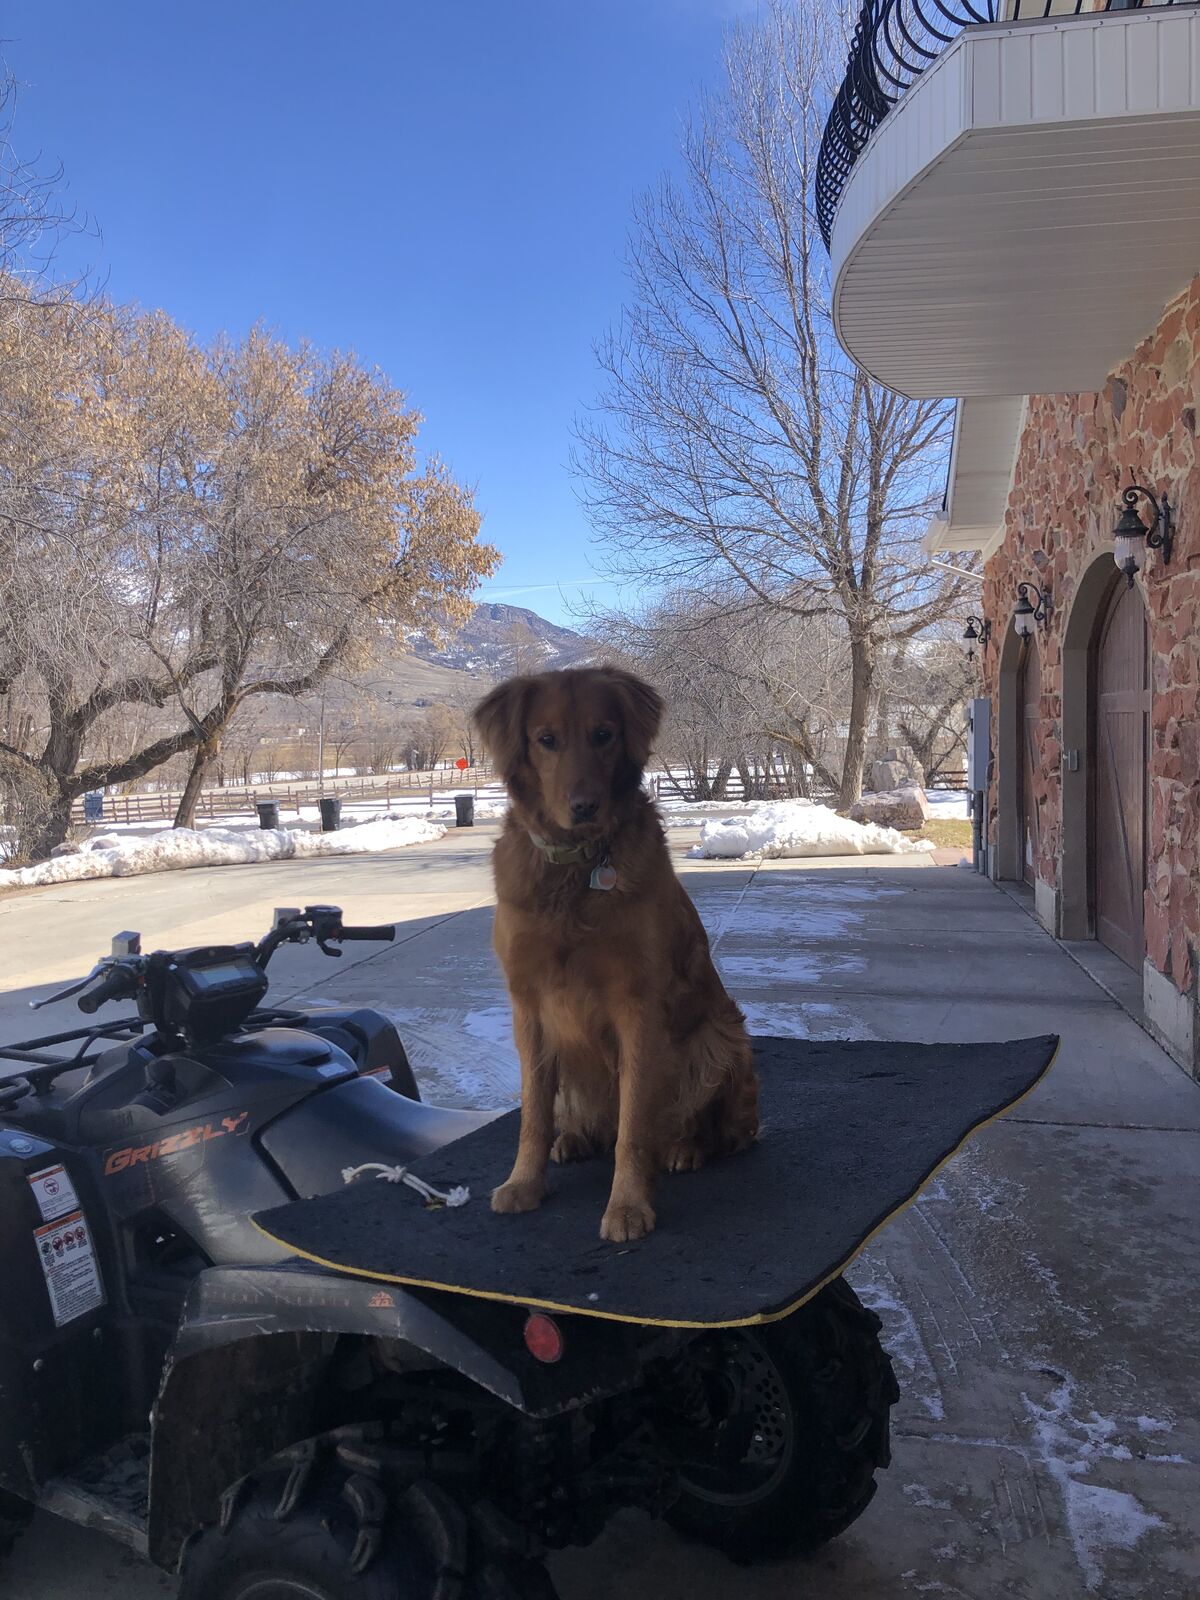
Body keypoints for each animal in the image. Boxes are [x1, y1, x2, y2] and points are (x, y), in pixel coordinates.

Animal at [473, 665, 759, 1242]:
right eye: (546, 740)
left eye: (603, 735)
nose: (585, 806)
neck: (574, 870)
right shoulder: (528, 1007)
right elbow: (532, 1116)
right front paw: (523, 1184)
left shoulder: (638, 1005)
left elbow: (635, 1126)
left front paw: (627, 1206)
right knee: (581, 1123)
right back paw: (573, 1140)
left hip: (719, 1041)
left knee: (717, 1131)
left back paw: (685, 1148)